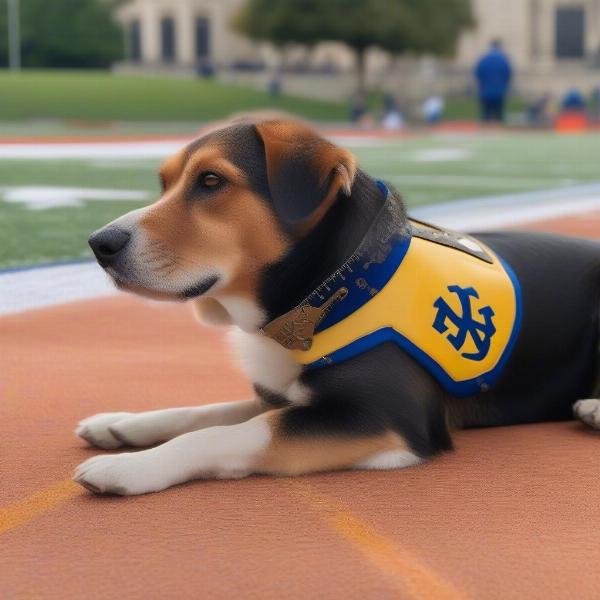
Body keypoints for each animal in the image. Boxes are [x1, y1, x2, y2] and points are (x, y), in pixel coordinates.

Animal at [74, 118, 600, 496]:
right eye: (165, 183)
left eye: (210, 181)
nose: (100, 243)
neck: (329, 285)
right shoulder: (281, 393)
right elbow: (202, 413)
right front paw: (122, 425)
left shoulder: (383, 420)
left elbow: (230, 434)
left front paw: (132, 467)